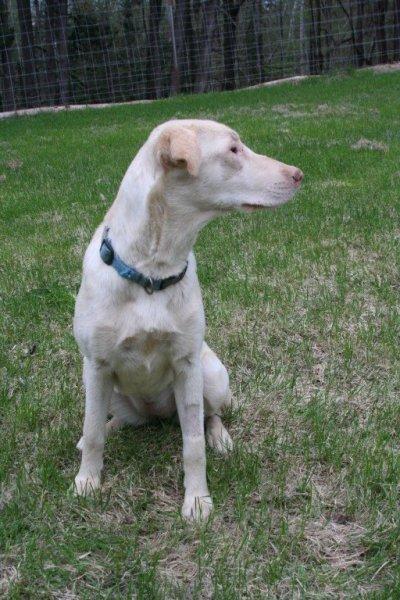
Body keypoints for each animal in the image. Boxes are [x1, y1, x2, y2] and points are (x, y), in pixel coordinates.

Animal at [73, 119, 303, 520]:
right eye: (233, 150)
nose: (298, 175)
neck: (152, 270)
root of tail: (159, 413)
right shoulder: (97, 365)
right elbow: (94, 429)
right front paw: (88, 480)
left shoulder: (186, 363)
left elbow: (193, 443)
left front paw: (197, 501)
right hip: (110, 390)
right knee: (113, 420)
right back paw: (103, 431)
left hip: (210, 375)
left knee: (209, 415)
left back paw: (220, 437)